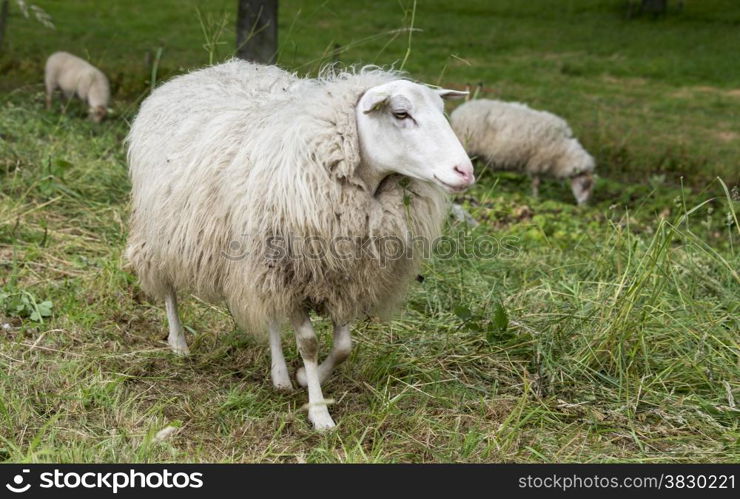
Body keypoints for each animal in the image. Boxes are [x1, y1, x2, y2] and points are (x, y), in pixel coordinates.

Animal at [125, 59, 474, 430]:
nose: (465, 171)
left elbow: (343, 346)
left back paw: (279, 375)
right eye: (401, 113)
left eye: (442, 111)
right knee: (167, 286)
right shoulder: (292, 272)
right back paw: (178, 344)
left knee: (270, 315)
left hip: (259, 258)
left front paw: (307, 378)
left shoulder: (343, 275)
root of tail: (194, 74)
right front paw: (319, 412)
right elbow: (308, 343)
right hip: (162, 229)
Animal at [450, 98, 596, 204]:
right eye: (584, 184)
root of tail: (458, 111)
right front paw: (536, 197)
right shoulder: (537, 162)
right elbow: (536, 183)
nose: (584, 205)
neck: (563, 150)